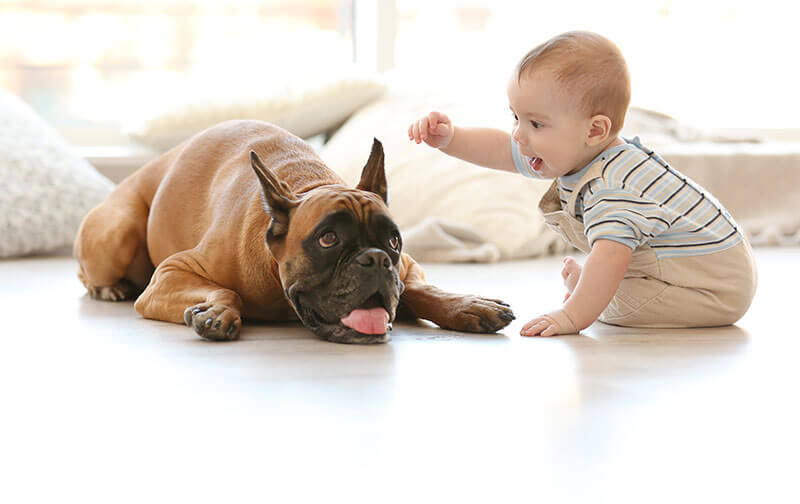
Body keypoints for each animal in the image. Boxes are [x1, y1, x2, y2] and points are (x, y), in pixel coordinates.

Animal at [73, 120, 512, 344]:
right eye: (327, 239)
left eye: (393, 240)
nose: (375, 260)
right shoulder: (169, 275)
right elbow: (224, 290)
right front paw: (217, 310)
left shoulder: (407, 265)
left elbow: (421, 288)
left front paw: (466, 304)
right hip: (118, 232)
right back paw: (109, 288)